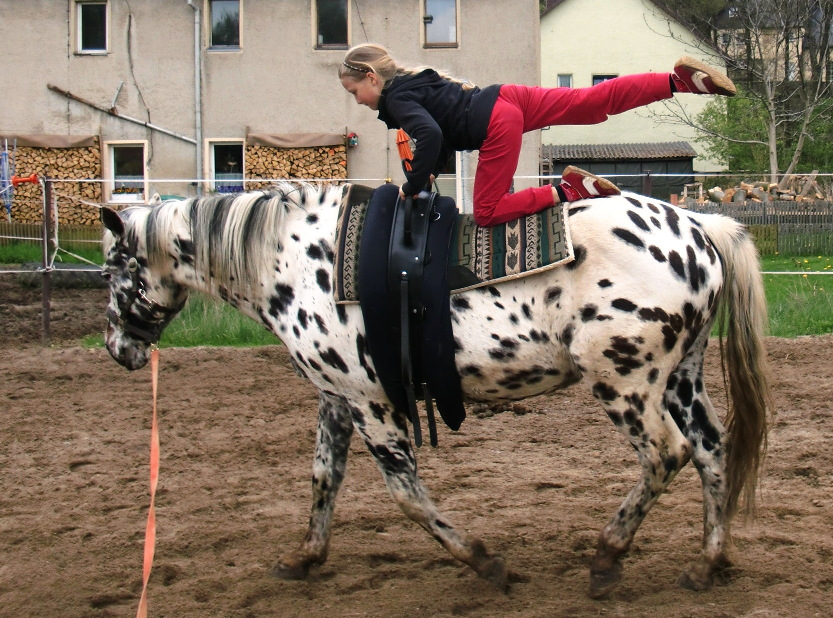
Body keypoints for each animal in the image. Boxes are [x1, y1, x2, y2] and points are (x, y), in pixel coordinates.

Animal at [99, 182, 770, 598]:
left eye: (113, 270)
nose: (117, 349)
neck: (292, 259)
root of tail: (698, 227)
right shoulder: (335, 397)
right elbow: (323, 479)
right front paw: (303, 558)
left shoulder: (371, 404)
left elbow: (406, 495)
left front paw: (484, 562)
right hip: (682, 379)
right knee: (711, 451)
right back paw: (707, 564)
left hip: (625, 382)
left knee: (666, 454)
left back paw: (607, 558)